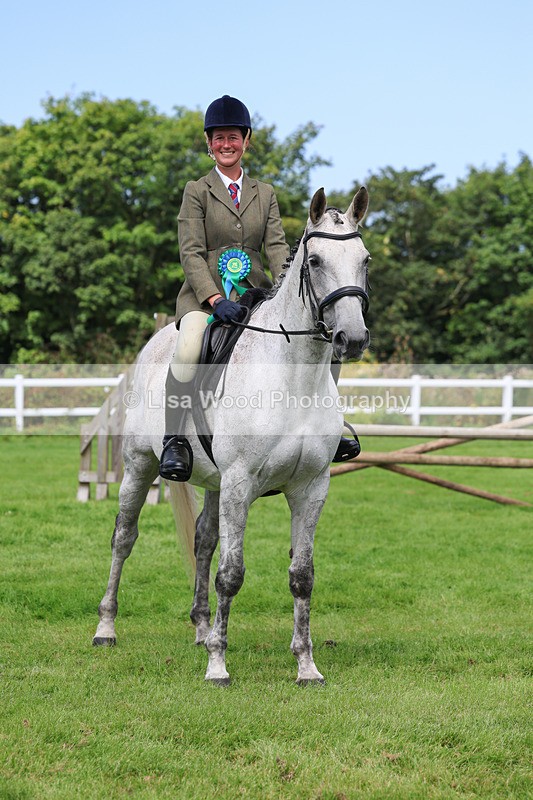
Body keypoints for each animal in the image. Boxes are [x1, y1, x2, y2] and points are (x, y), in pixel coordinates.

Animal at [93, 186, 371, 685]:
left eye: (365, 260)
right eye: (315, 260)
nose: (352, 339)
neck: (293, 377)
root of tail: (157, 339)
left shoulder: (310, 487)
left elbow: (302, 575)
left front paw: (307, 666)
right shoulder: (241, 483)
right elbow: (232, 573)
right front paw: (218, 665)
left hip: (214, 483)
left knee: (203, 541)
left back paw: (202, 629)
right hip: (140, 466)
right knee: (124, 537)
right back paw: (106, 628)